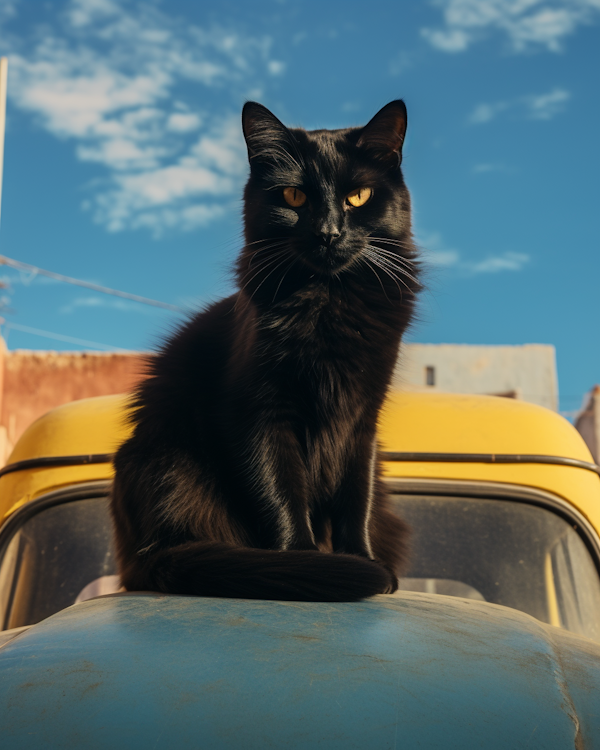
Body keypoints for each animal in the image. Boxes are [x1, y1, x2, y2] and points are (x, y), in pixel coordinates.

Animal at [111, 101, 422, 604]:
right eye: (294, 197)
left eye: (358, 197)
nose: (328, 233)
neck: (327, 302)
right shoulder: (257, 413)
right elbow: (279, 491)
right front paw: (306, 560)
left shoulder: (361, 419)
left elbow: (357, 497)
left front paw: (362, 559)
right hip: (170, 463)